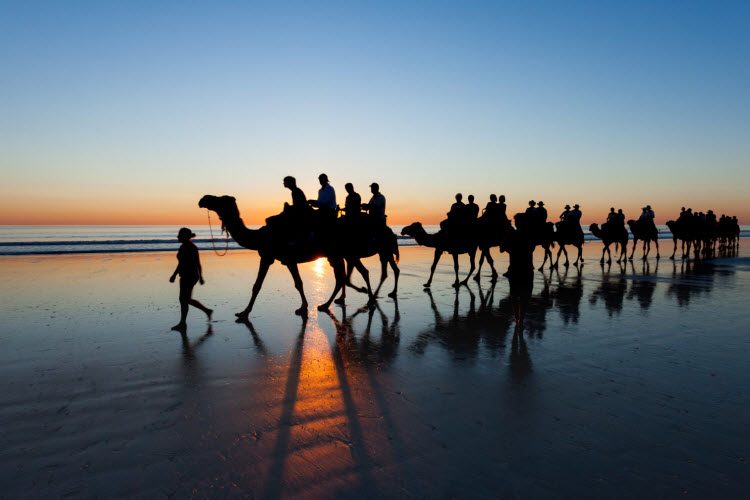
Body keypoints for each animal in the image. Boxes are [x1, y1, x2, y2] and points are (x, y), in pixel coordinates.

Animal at [200, 194, 400, 316]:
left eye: (220, 199)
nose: (203, 199)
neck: (260, 236)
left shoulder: (272, 257)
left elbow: (262, 285)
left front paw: (244, 313)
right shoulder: (282, 259)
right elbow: (293, 283)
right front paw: (304, 307)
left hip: (342, 253)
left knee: (348, 275)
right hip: (339, 254)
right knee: (346, 276)